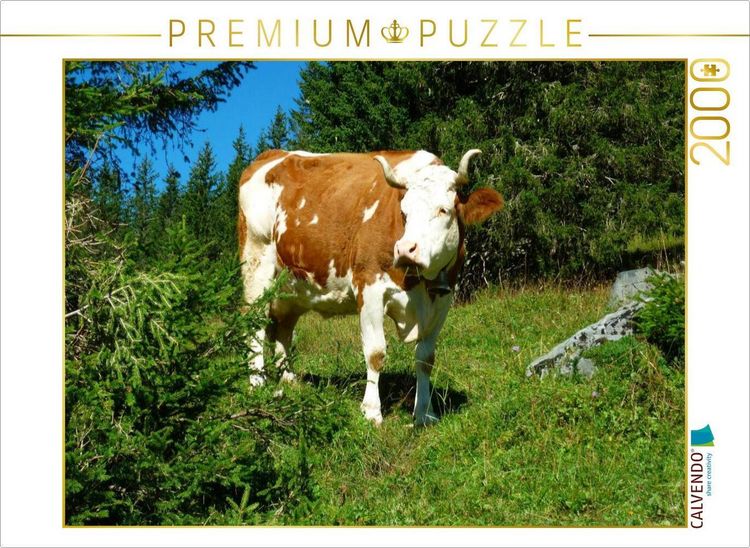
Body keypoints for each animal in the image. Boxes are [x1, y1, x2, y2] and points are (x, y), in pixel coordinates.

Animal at [237, 149, 503, 426]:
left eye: (444, 210)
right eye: (404, 213)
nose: (405, 249)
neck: (419, 284)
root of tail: (273, 154)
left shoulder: (442, 300)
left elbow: (425, 358)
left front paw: (425, 413)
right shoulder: (370, 288)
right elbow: (376, 353)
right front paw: (372, 411)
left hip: (292, 290)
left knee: (284, 329)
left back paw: (289, 381)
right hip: (256, 265)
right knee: (254, 325)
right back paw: (257, 383)